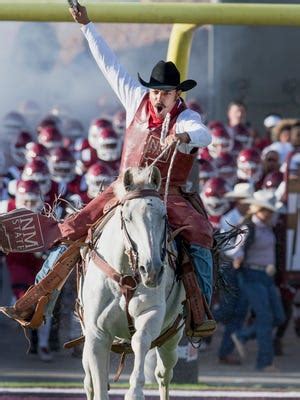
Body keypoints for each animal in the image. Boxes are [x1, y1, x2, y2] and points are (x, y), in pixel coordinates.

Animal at [81, 166, 185, 400]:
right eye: (127, 217)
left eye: (164, 215)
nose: (152, 270)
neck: (125, 276)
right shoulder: (97, 333)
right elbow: (98, 383)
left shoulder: (151, 314)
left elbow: (140, 340)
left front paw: (135, 391)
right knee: (88, 380)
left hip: (172, 336)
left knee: (163, 374)